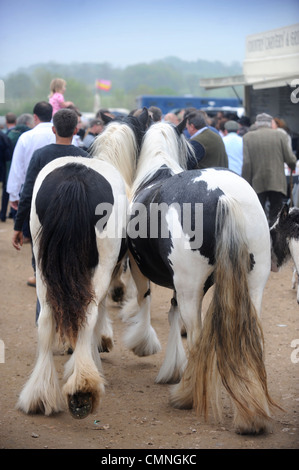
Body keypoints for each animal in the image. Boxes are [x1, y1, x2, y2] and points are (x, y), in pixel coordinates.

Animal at [15, 109, 149, 418]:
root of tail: (75, 180)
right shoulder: (109, 267)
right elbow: (99, 311)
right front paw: (99, 345)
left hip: (44, 268)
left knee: (46, 318)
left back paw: (40, 394)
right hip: (99, 266)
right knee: (88, 312)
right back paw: (83, 389)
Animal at [124, 119, 282, 436]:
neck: (157, 171)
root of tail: (222, 194)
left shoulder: (139, 269)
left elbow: (145, 302)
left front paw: (143, 345)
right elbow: (172, 314)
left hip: (191, 286)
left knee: (197, 337)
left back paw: (185, 396)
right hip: (253, 284)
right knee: (250, 339)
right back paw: (251, 414)